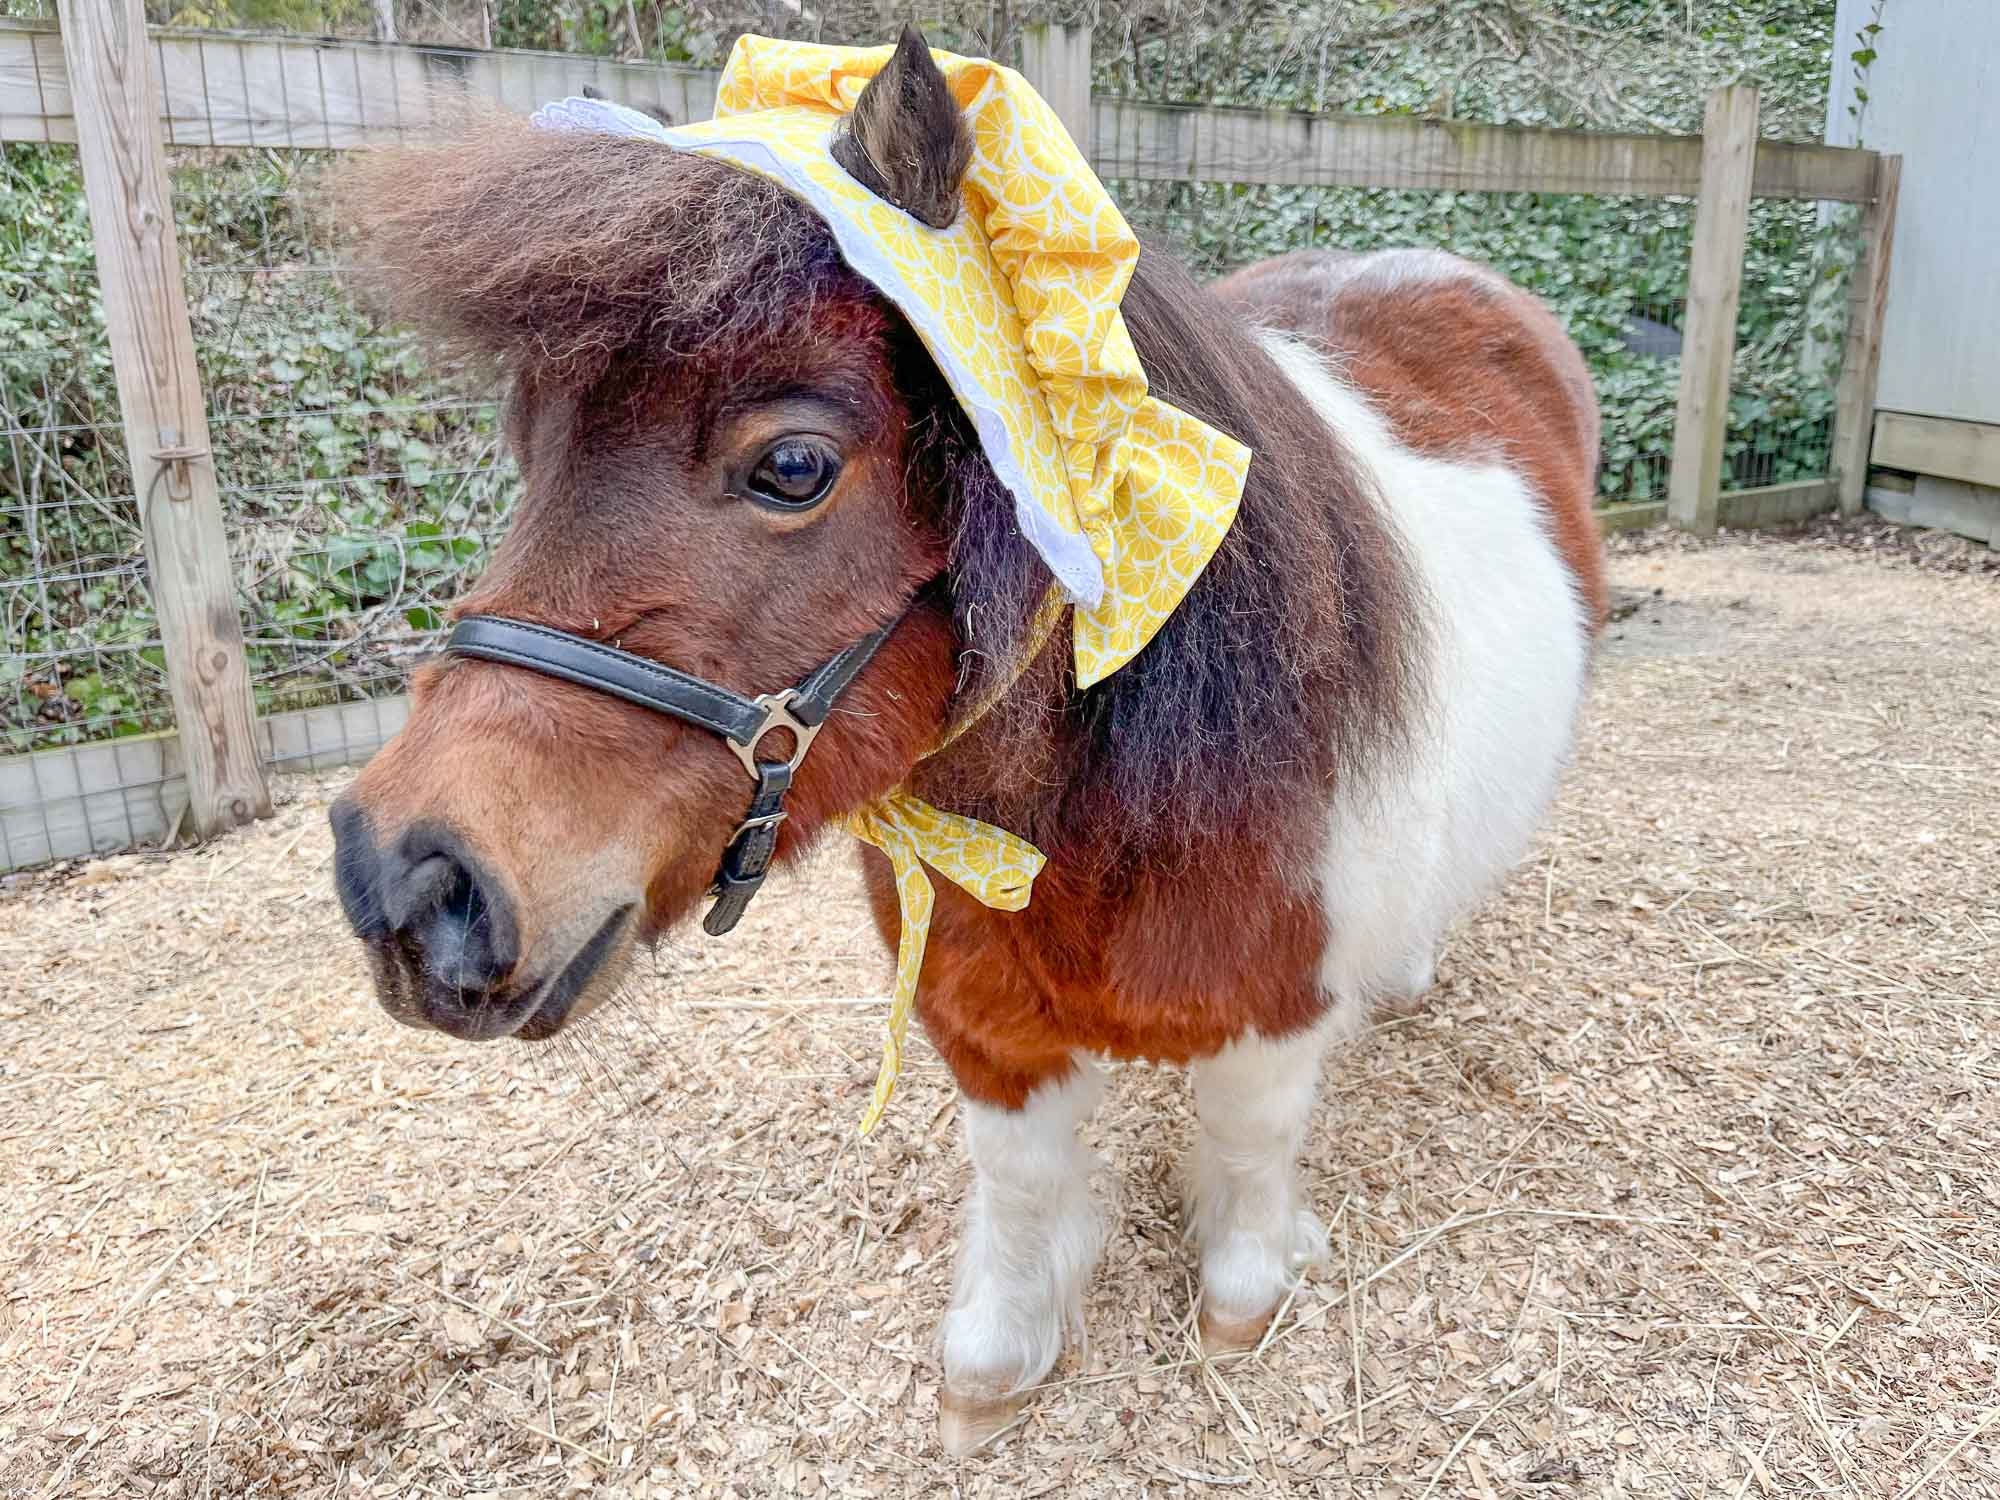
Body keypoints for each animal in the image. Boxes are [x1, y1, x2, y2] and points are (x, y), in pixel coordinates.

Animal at [328, 31, 1605, 1453]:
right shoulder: (978, 1026)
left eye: (790, 467)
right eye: (531, 447)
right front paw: (999, 1360)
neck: (1100, 821)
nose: (405, 883)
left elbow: (1247, 1154)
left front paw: (1244, 1293)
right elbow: (1022, 1181)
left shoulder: (1270, 1022)